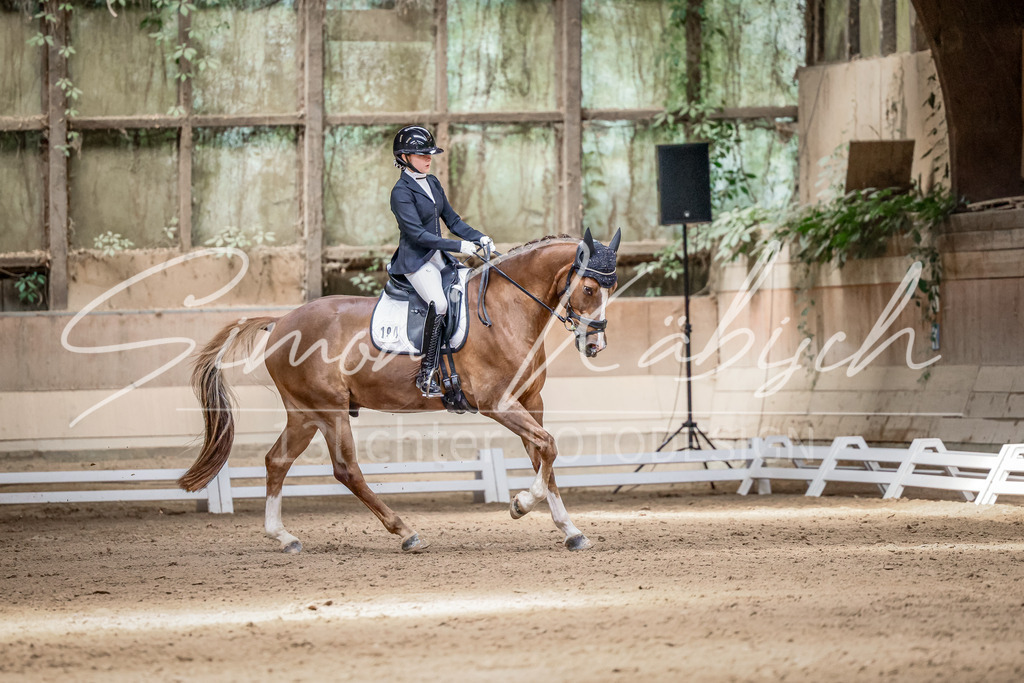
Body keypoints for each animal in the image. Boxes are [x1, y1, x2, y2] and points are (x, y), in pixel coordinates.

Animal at [177, 229, 621, 552]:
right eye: (588, 289)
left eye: (610, 290)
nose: (596, 345)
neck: (505, 310)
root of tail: (282, 321)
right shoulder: (497, 403)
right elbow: (548, 447)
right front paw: (519, 505)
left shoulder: (531, 401)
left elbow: (544, 457)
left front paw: (570, 530)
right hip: (328, 410)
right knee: (345, 469)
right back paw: (405, 532)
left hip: (305, 413)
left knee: (276, 461)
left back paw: (284, 537)